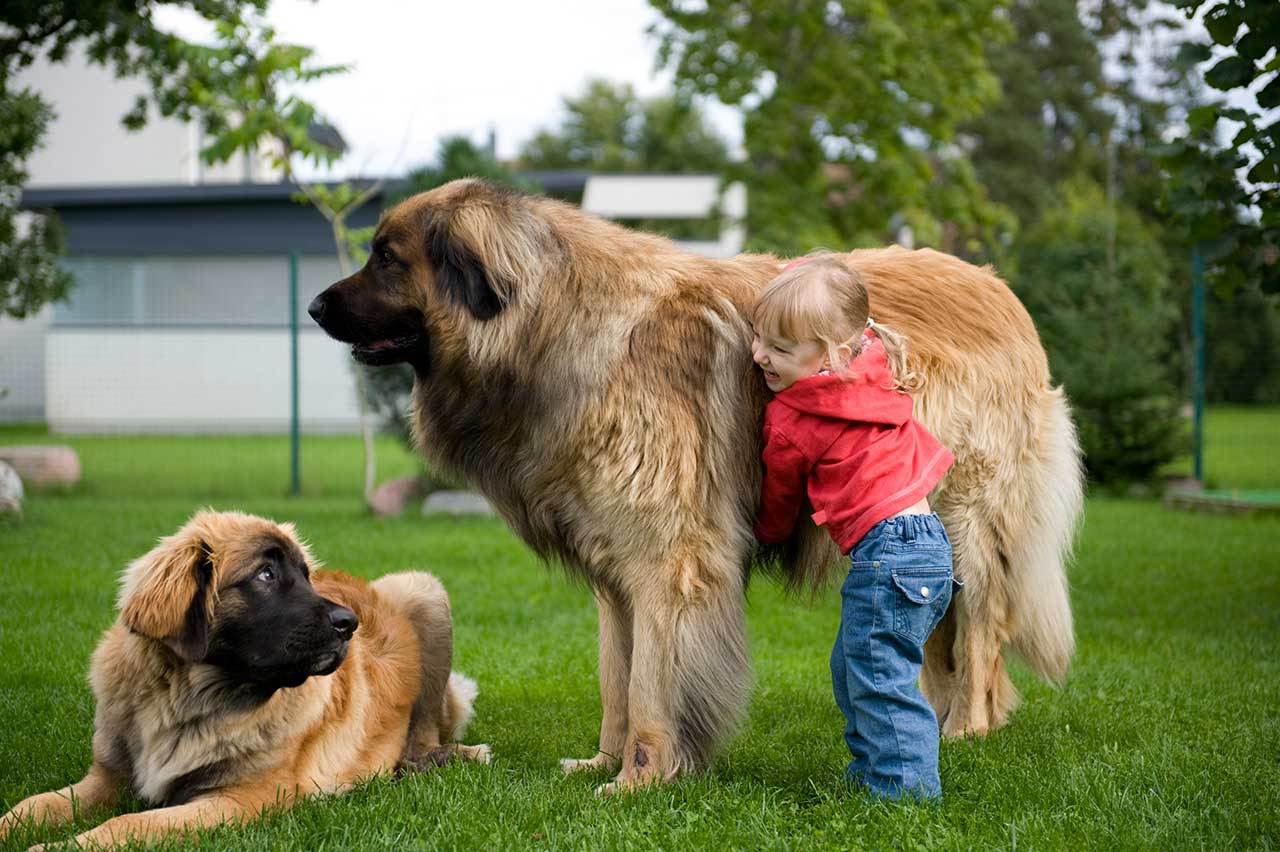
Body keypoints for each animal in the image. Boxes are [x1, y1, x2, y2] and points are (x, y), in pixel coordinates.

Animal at [0, 506, 488, 844]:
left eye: (306, 577)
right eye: (265, 574)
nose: (350, 623)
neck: (186, 699)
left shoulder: (237, 799)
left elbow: (125, 825)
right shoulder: (104, 779)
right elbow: (32, 806)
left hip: (423, 590)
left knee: (422, 737)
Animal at [309, 177, 1080, 788]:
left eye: (387, 257)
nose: (315, 308)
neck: (555, 323)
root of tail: (999, 287)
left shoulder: (671, 560)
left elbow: (654, 685)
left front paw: (640, 780)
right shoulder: (615, 572)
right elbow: (617, 679)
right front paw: (603, 762)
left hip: (964, 521)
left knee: (979, 629)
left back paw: (966, 728)